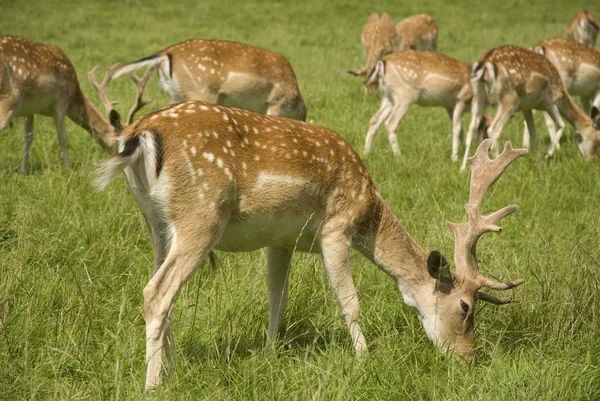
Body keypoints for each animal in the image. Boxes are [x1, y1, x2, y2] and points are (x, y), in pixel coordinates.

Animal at [0, 34, 118, 172]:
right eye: (119, 141)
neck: (74, 95)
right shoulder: (61, 101)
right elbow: (63, 138)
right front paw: (68, 169)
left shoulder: (29, 109)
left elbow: (28, 138)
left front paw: (24, 171)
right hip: (9, 98)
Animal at [96, 97, 528, 390]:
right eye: (465, 307)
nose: (468, 359)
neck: (368, 206)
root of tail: (140, 133)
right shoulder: (336, 229)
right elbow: (350, 301)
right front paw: (365, 360)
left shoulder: (280, 240)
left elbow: (277, 297)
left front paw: (270, 352)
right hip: (201, 215)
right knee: (156, 292)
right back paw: (154, 384)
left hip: (155, 222)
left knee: (161, 287)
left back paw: (172, 366)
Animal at [464, 45, 600, 170]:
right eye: (597, 140)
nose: (593, 160)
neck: (560, 91)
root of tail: (484, 64)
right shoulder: (550, 101)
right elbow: (561, 124)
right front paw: (546, 155)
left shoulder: (527, 107)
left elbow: (533, 131)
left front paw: (535, 159)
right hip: (509, 98)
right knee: (494, 129)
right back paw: (499, 165)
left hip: (478, 97)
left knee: (471, 129)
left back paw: (464, 167)